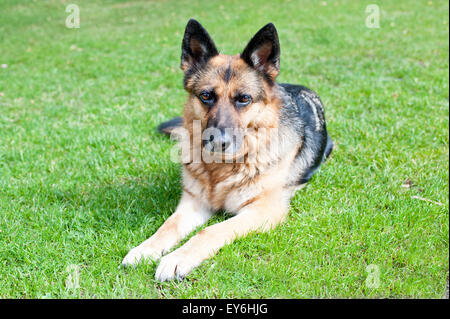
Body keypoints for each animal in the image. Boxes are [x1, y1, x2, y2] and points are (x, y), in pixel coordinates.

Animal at [121, 19, 332, 282]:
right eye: (206, 96)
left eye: (244, 99)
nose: (218, 142)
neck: (221, 169)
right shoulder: (193, 204)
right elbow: (168, 226)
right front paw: (145, 248)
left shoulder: (262, 211)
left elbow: (210, 231)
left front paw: (178, 258)